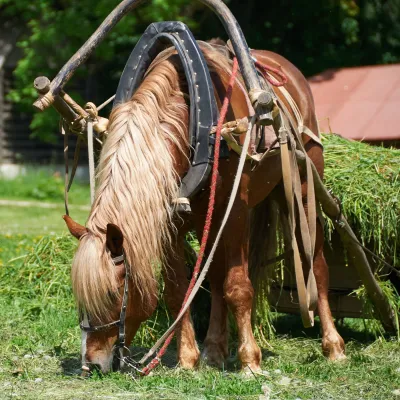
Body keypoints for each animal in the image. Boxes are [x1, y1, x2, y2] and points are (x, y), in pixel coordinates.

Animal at [64, 39, 346, 374]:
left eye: (110, 293)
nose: (91, 364)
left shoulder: (235, 212)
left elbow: (237, 286)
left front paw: (250, 361)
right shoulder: (169, 223)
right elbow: (178, 292)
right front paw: (188, 359)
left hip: (301, 189)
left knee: (316, 263)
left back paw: (333, 345)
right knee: (213, 275)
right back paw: (213, 350)